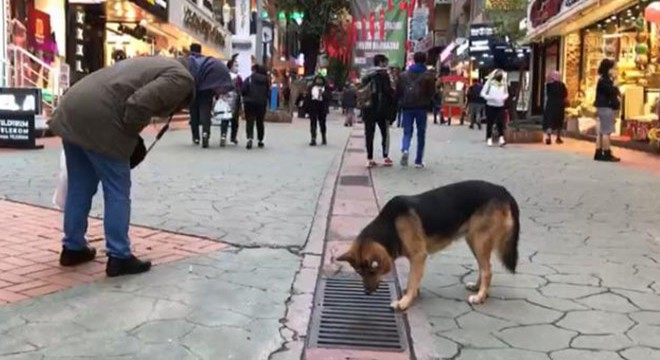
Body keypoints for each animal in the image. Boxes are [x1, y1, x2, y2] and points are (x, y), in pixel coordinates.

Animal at [338, 181, 520, 310]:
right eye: (359, 272)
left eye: (372, 270)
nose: (367, 293)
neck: (391, 224)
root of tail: (502, 190)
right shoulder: (416, 259)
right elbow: (415, 279)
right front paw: (413, 294)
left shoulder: (418, 256)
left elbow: (412, 279)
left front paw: (405, 302)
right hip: (474, 240)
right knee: (484, 268)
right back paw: (477, 288)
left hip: (479, 240)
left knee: (487, 271)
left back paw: (480, 296)